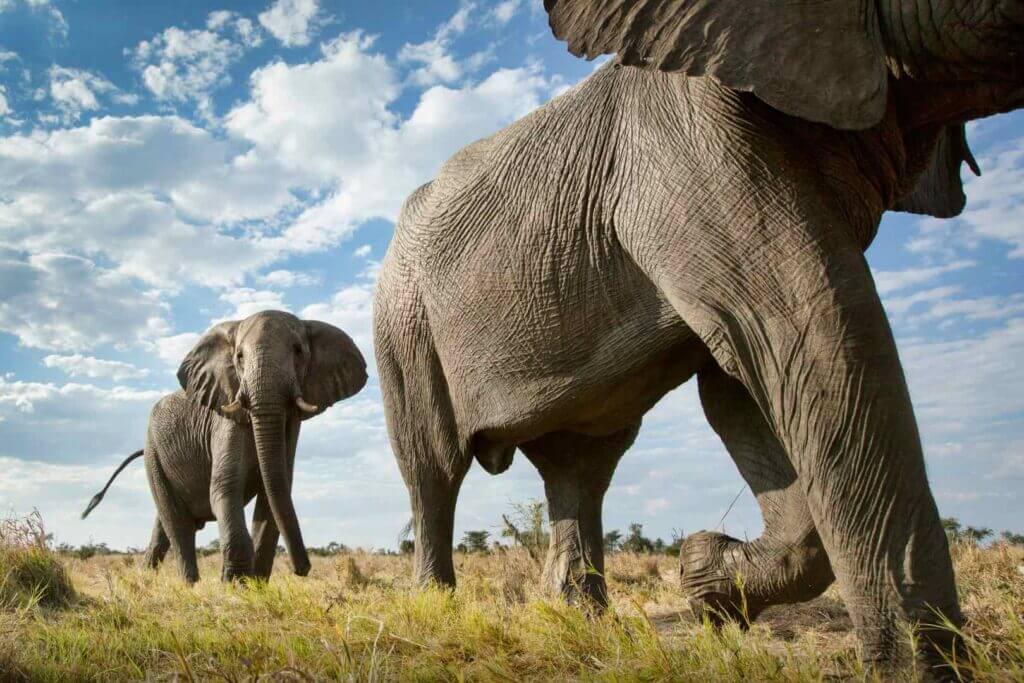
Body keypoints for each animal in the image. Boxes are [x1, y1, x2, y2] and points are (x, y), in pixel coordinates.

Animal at [82, 309, 368, 581]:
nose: (303, 569)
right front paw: (235, 585)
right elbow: (225, 487)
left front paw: (254, 585)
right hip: (154, 456)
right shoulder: (226, 420)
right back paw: (189, 586)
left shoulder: (290, 427)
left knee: (163, 529)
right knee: (178, 525)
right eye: (239, 356)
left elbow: (273, 496)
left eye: (299, 351)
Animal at [374, 0, 1024, 675]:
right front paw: (921, 671)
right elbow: (810, 336)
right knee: (433, 468)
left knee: (581, 468)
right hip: (403, 326)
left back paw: (582, 620)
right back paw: (437, 610)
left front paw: (707, 582)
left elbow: (745, 382)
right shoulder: (693, 147)